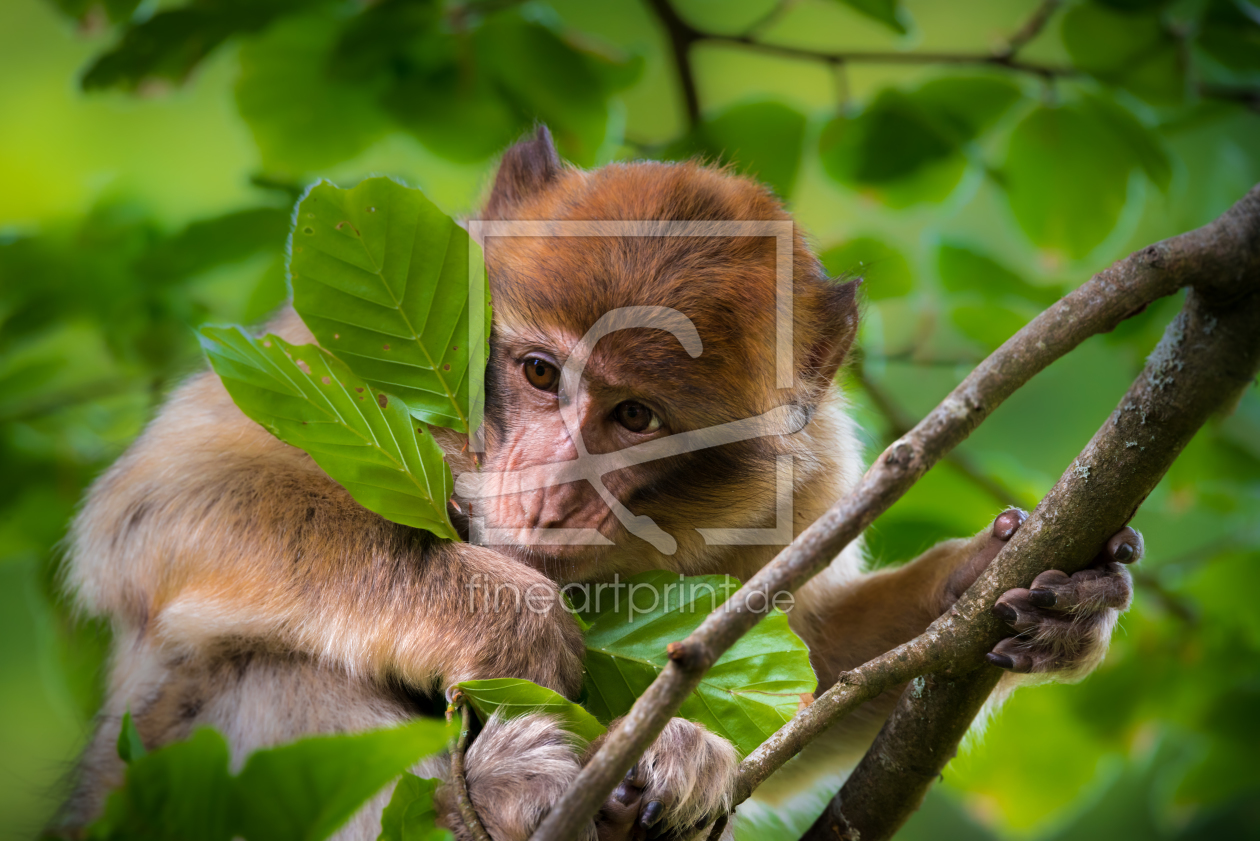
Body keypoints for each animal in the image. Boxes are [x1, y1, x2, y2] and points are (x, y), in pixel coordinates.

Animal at [59, 124, 1144, 841]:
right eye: (541, 373)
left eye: (634, 418)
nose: (545, 493)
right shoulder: (321, 366)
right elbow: (162, 507)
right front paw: (512, 621)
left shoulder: (805, 488)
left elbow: (813, 663)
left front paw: (1023, 587)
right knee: (263, 666)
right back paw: (492, 794)